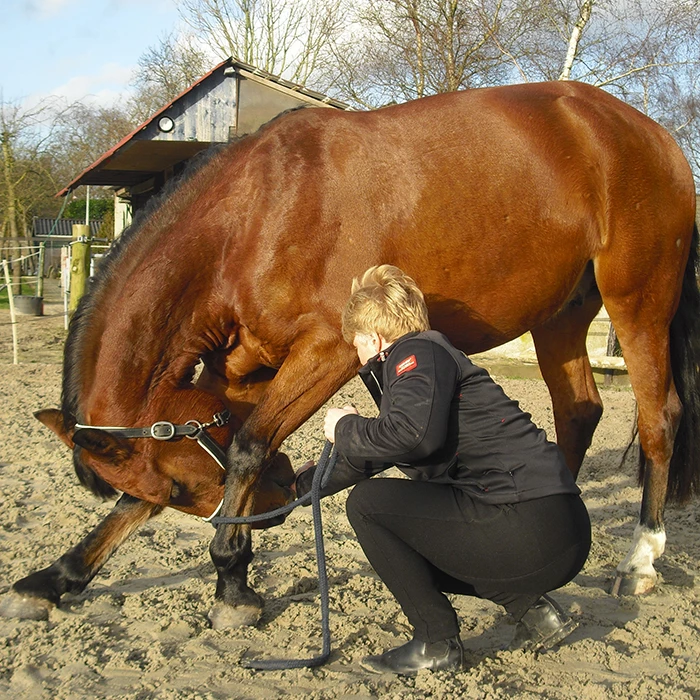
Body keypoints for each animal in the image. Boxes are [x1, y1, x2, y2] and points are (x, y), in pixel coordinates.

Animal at [1, 79, 698, 629]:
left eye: (180, 486)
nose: (278, 503)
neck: (255, 214)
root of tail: (650, 133)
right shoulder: (246, 370)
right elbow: (196, 471)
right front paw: (57, 577)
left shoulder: (329, 352)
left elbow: (248, 447)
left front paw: (231, 580)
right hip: (561, 316)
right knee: (578, 412)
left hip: (637, 300)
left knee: (659, 418)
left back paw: (640, 559)